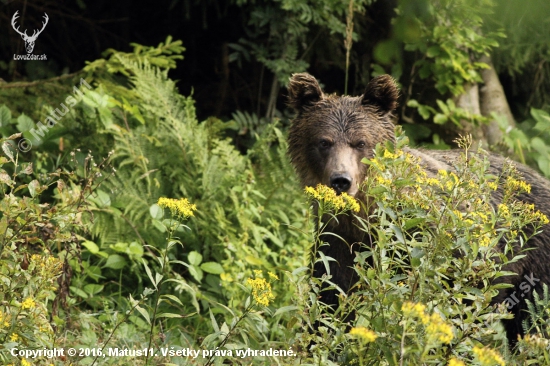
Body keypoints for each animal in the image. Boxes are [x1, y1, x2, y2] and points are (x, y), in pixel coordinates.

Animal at [288, 71, 550, 346]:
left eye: (360, 142)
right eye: (324, 142)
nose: (341, 180)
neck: (367, 215)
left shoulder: (442, 238)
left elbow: (466, 290)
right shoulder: (337, 238)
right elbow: (330, 295)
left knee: (534, 315)